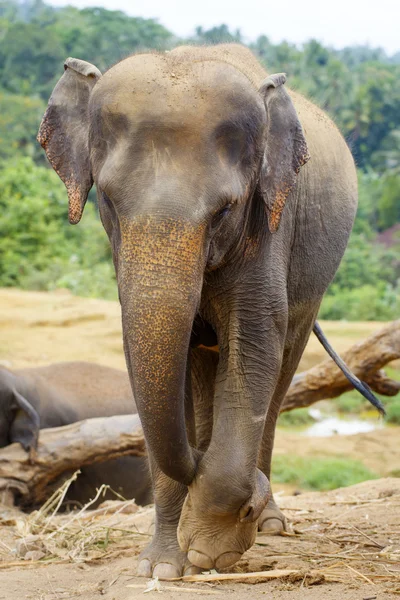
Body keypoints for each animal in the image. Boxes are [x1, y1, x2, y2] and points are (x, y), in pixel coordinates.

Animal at [38, 42, 368, 576]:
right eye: (106, 199)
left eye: (224, 209)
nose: (255, 502)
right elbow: (151, 360)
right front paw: (163, 567)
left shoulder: (269, 224)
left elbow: (253, 343)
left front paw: (215, 549)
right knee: (201, 370)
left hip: (315, 280)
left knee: (281, 370)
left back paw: (270, 522)